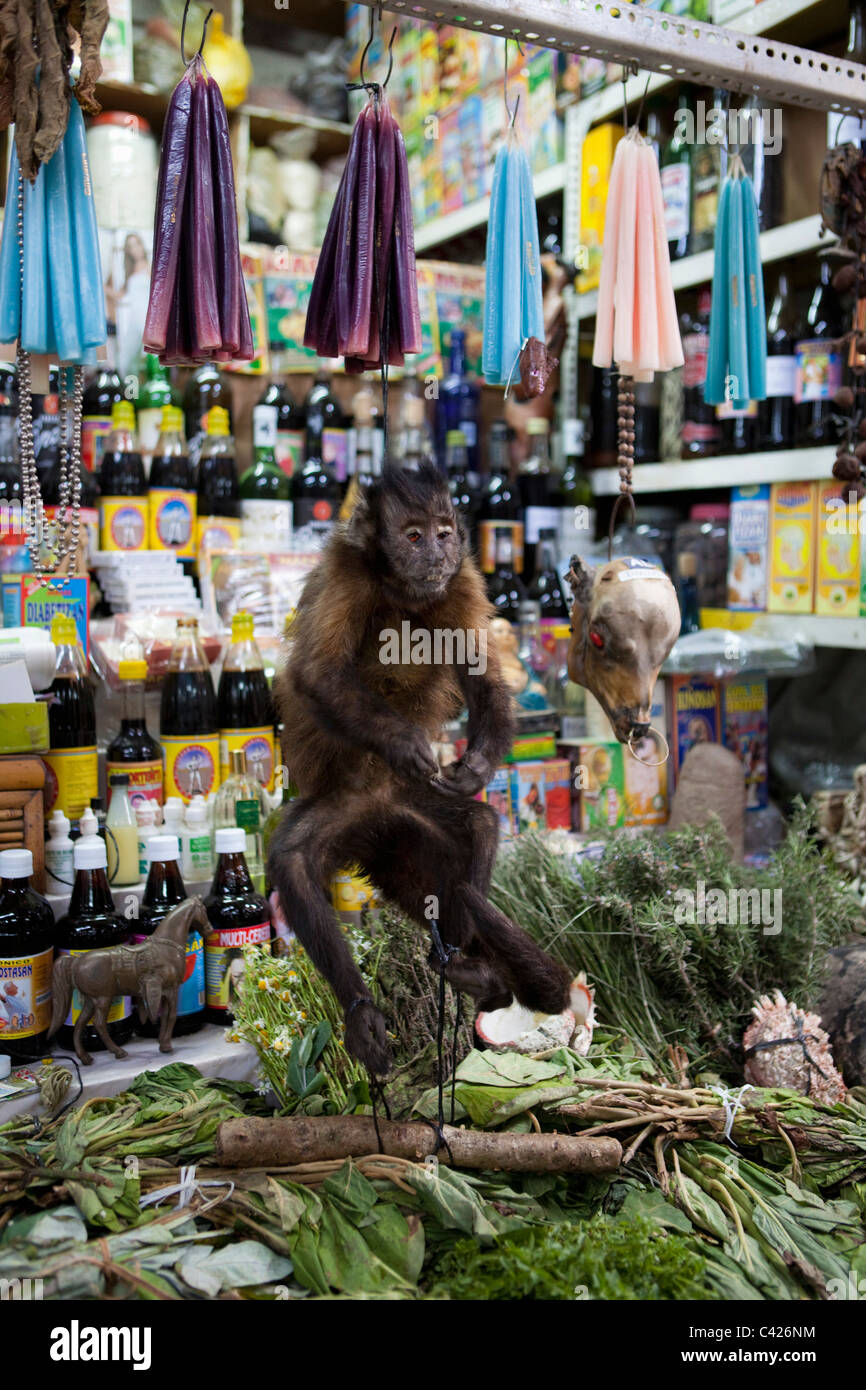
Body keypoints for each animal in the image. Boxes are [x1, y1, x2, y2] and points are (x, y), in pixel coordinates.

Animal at [269, 464, 569, 1073]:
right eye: (412, 536)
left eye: (443, 533)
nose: (436, 551)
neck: (398, 589)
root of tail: (373, 819)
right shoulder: (347, 575)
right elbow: (318, 672)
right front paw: (403, 741)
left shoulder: (461, 583)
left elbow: (483, 678)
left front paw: (475, 767)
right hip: (345, 807)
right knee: (294, 860)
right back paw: (361, 1007)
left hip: (410, 807)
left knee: (479, 826)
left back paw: (464, 965)